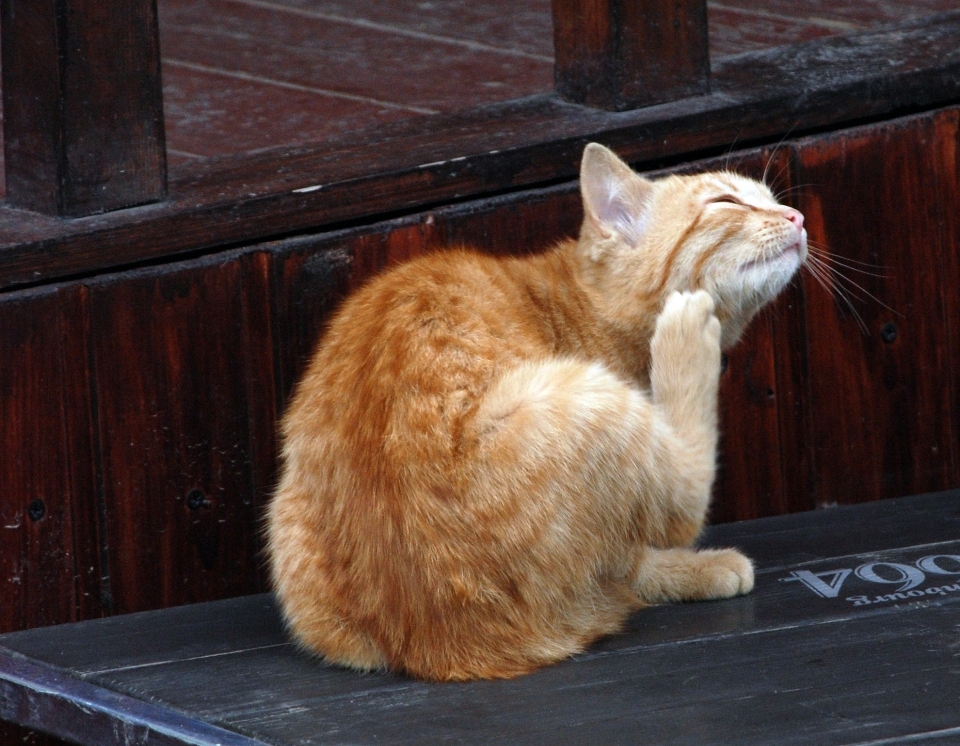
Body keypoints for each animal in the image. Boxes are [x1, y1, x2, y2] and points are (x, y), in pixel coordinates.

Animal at [266, 141, 808, 680]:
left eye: (772, 200)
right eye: (726, 202)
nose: (798, 216)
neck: (585, 310)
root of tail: (441, 644)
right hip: (591, 397)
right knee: (678, 504)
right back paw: (687, 338)